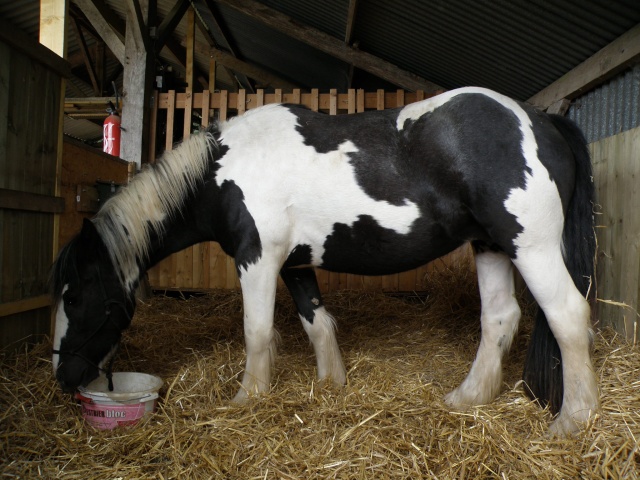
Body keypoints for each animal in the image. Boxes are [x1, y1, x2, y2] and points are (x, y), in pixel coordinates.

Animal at [51, 86, 600, 436]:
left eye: (74, 297)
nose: (63, 377)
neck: (225, 170)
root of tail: (540, 119)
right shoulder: (295, 266)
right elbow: (316, 323)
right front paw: (331, 384)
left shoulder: (258, 260)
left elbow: (257, 331)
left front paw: (247, 399)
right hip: (490, 246)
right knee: (500, 318)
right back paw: (468, 399)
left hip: (530, 246)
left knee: (569, 316)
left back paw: (572, 422)